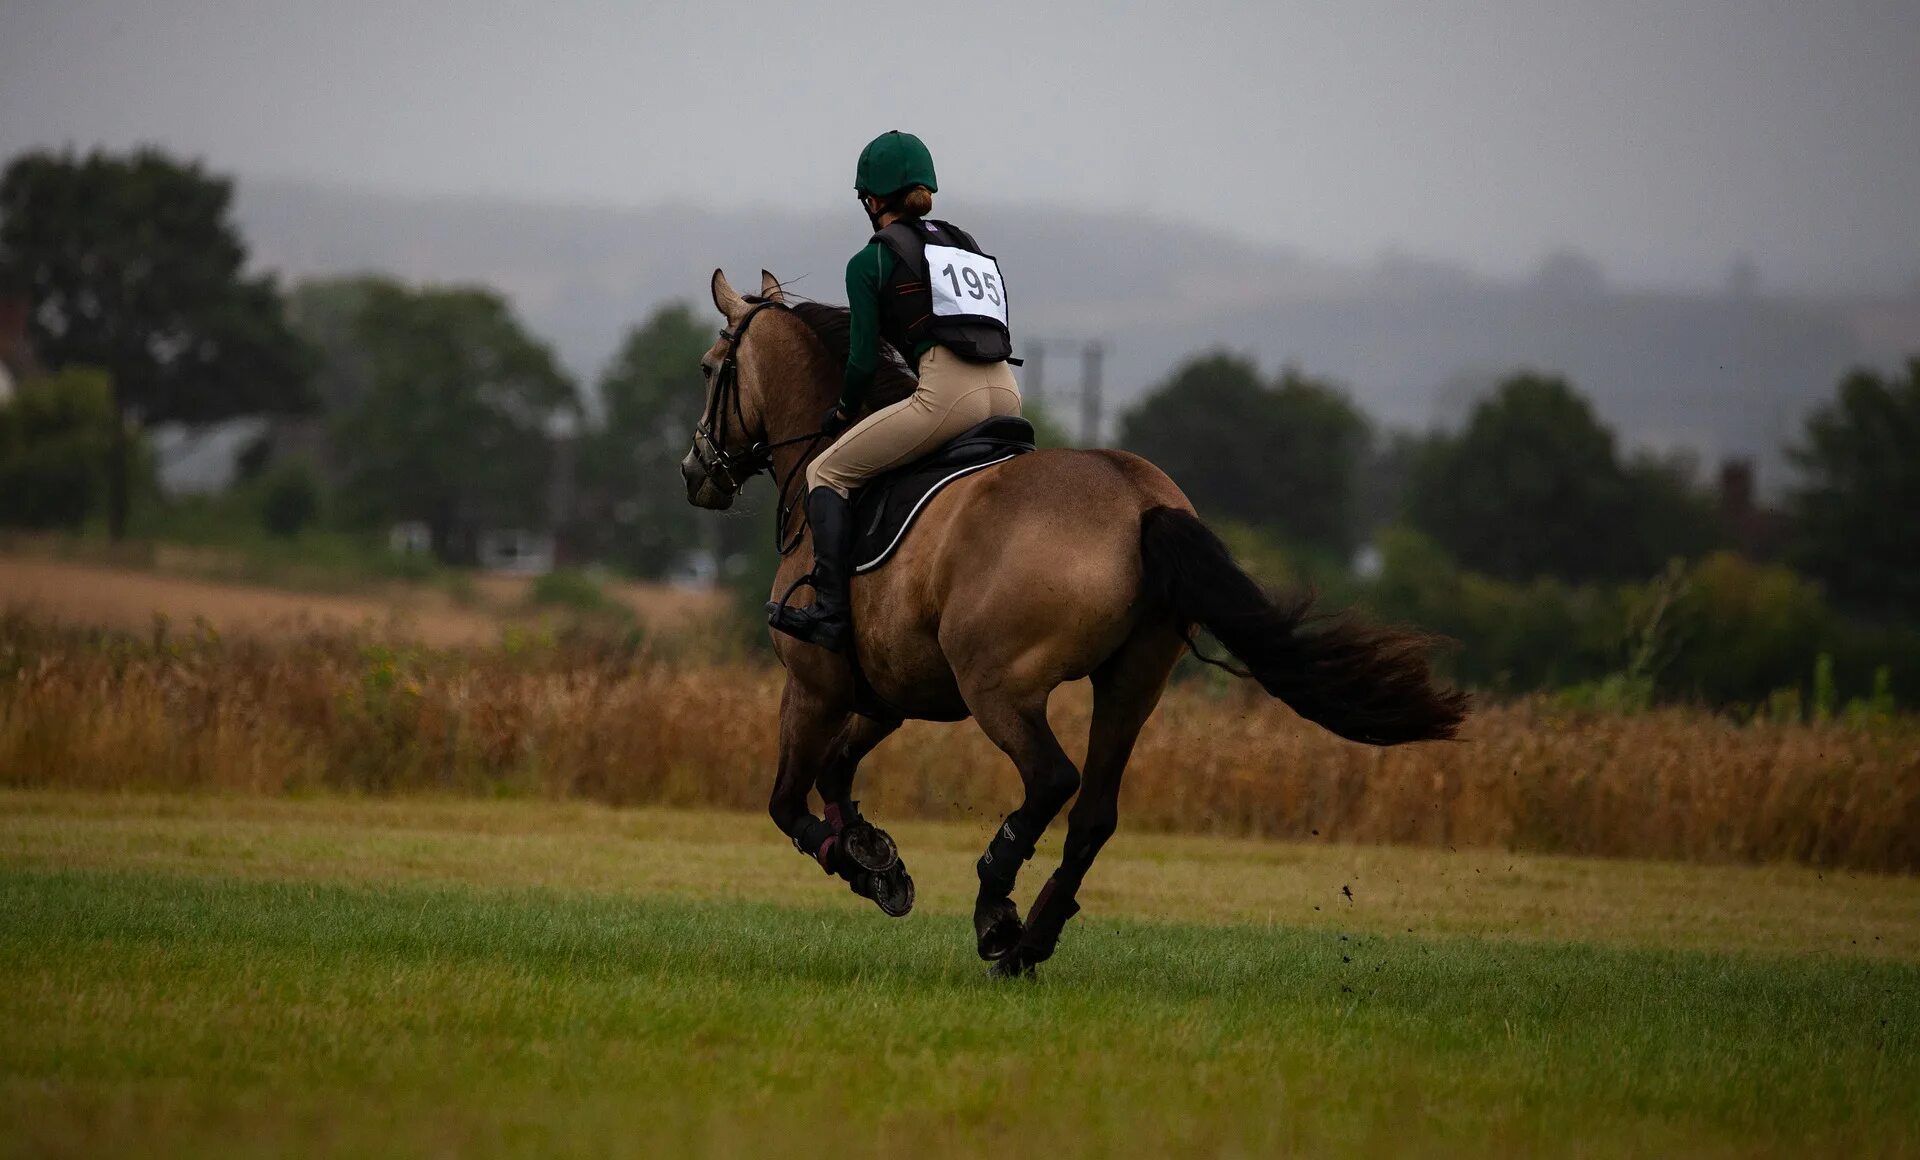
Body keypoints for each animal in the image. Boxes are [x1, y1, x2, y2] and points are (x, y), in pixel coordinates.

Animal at [683, 268, 1459, 979]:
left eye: (709, 368)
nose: (695, 472)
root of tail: (1141, 502)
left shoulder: (814, 687)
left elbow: (788, 802)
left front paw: (865, 868)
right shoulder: (889, 694)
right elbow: (839, 771)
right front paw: (876, 857)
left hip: (999, 687)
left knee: (1052, 779)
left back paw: (996, 912)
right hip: (1131, 683)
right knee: (1093, 813)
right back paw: (1031, 940)